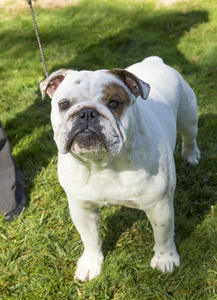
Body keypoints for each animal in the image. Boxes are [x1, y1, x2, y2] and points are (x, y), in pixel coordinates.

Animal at [40, 56, 200, 282]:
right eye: (64, 104)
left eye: (114, 104)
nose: (86, 113)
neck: (102, 164)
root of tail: (154, 60)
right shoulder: (82, 208)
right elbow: (89, 238)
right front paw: (90, 264)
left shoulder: (159, 207)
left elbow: (163, 234)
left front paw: (165, 259)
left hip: (188, 118)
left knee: (189, 136)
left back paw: (191, 156)